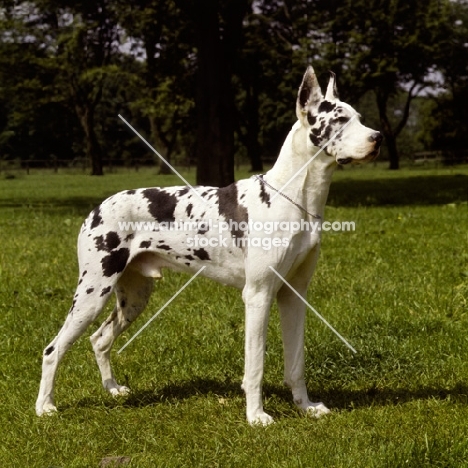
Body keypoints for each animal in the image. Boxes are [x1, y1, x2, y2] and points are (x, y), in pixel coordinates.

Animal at [35, 65, 380, 424]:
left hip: (133, 298)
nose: (378, 138)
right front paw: (256, 415)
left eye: (359, 117)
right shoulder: (258, 296)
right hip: (93, 292)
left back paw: (113, 389)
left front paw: (306, 407)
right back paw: (45, 406)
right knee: (52, 349)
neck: (294, 197)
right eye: (339, 119)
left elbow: (296, 364)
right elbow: (255, 366)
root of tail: (97, 208)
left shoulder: (293, 295)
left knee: (99, 340)